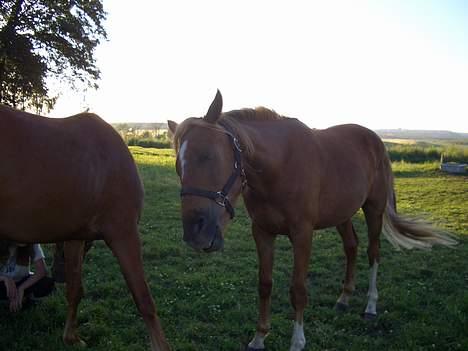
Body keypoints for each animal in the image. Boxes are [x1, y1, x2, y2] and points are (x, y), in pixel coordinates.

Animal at [169, 91, 458, 351]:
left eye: (208, 155)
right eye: (178, 167)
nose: (195, 234)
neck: (279, 166)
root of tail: (375, 139)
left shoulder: (302, 234)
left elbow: (298, 290)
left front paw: (297, 342)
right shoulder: (262, 232)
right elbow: (265, 284)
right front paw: (259, 338)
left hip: (373, 210)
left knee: (373, 253)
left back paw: (370, 306)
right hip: (342, 214)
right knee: (351, 247)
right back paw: (344, 297)